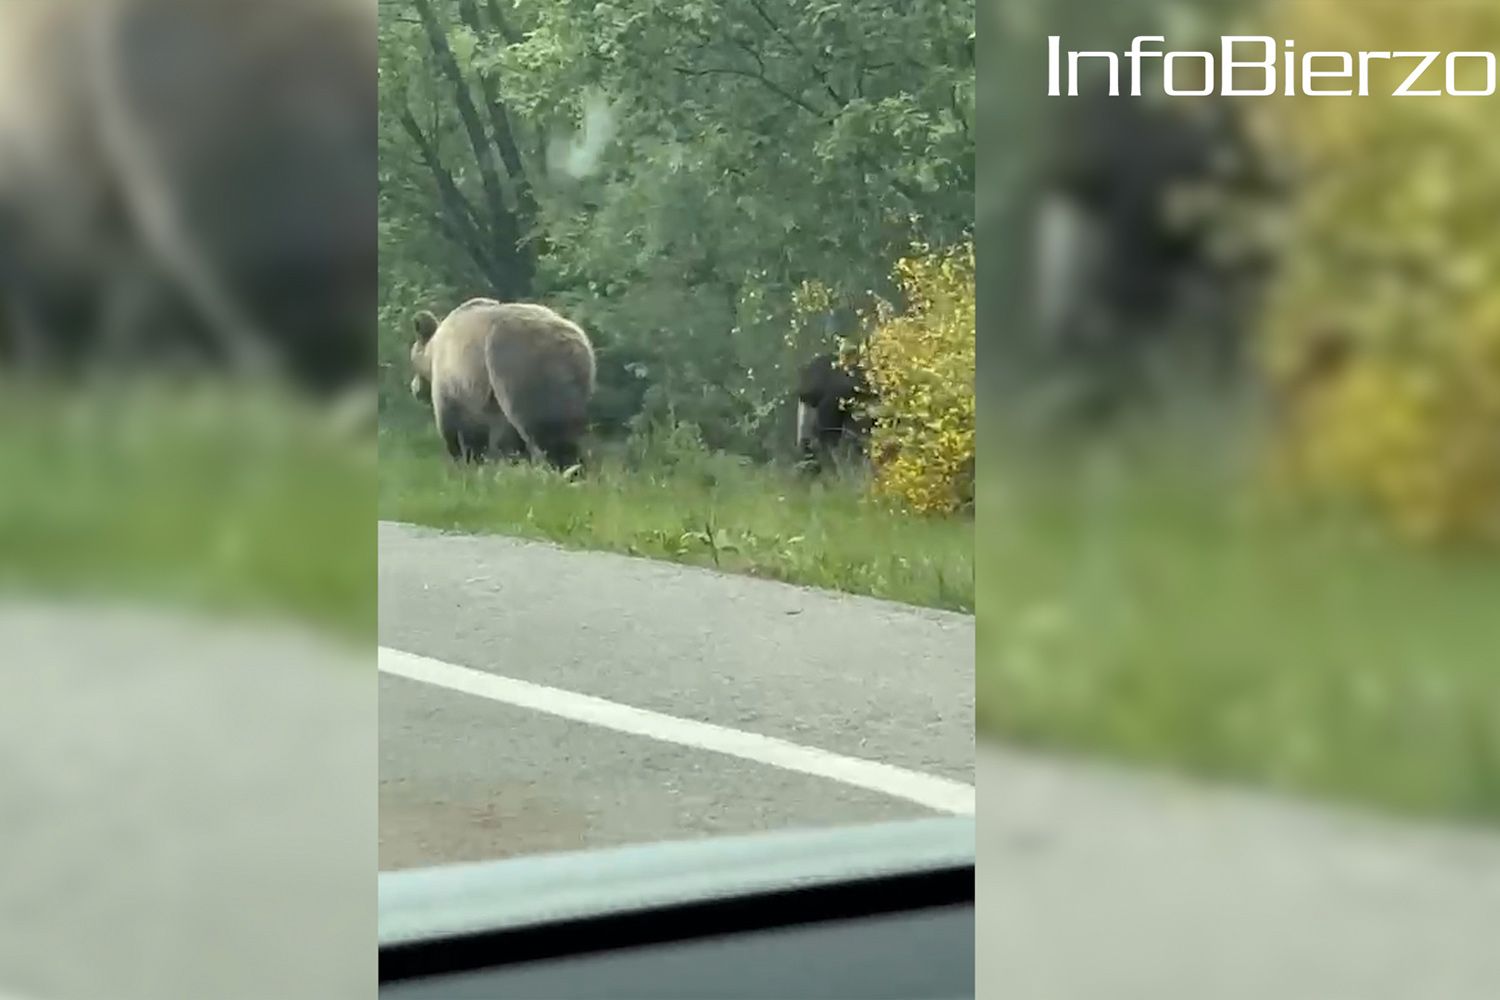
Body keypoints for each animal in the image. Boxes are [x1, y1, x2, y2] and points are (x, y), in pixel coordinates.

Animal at [409, 297, 596, 471]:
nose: (415, 389)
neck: (431, 352)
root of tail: (570, 343)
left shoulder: (453, 381)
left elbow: (455, 425)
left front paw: (463, 458)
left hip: (520, 367)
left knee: (543, 429)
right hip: (577, 382)